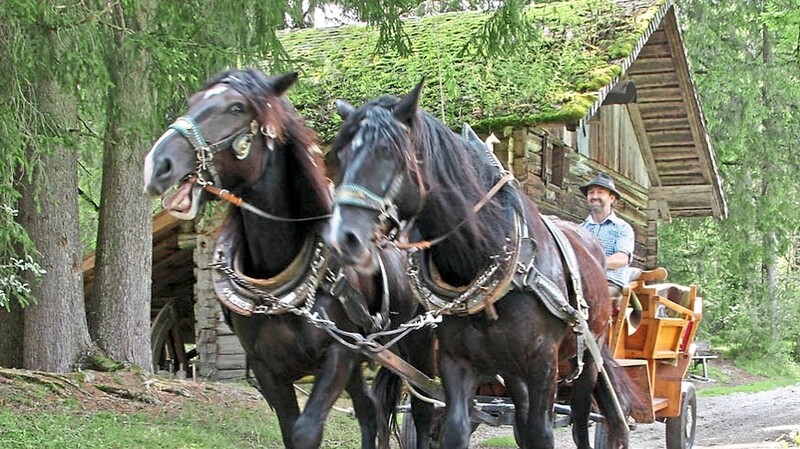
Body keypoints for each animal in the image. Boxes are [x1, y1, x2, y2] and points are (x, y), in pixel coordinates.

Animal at [141, 70, 434, 448]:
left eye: (237, 108)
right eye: (192, 102)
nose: (158, 164)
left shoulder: (338, 354)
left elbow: (306, 431)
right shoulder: (268, 369)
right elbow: (291, 432)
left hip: (415, 344)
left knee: (424, 409)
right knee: (370, 409)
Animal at [322, 80, 640, 448]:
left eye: (390, 153)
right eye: (340, 156)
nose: (343, 237)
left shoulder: (543, 365)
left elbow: (543, 432)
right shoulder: (457, 364)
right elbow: (456, 429)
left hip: (587, 357)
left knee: (580, 418)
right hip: (509, 369)